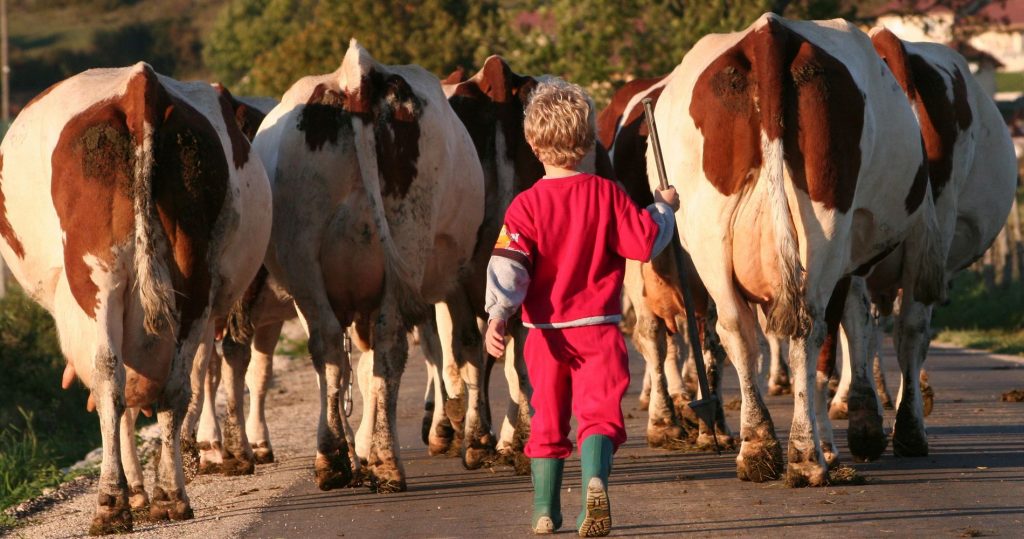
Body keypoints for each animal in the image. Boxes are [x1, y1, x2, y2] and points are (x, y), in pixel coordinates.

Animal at [0, 61, 272, 532]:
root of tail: (139, 91)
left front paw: (139, 487)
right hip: (190, 281)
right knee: (175, 386)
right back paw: (170, 495)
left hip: (100, 280)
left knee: (112, 379)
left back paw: (115, 501)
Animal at [249, 40, 485, 491]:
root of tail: (356, 77)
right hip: (405, 240)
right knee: (386, 347)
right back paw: (385, 460)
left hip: (303, 258)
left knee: (330, 346)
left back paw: (335, 459)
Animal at [651, 13, 946, 485]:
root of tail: (767, 33)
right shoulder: (854, 265)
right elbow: (846, 338)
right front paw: (837, 445)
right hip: (825, 223)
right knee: (810, 329)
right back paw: (807, 457)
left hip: (705, 230)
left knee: (736, 330)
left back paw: (757, 449)